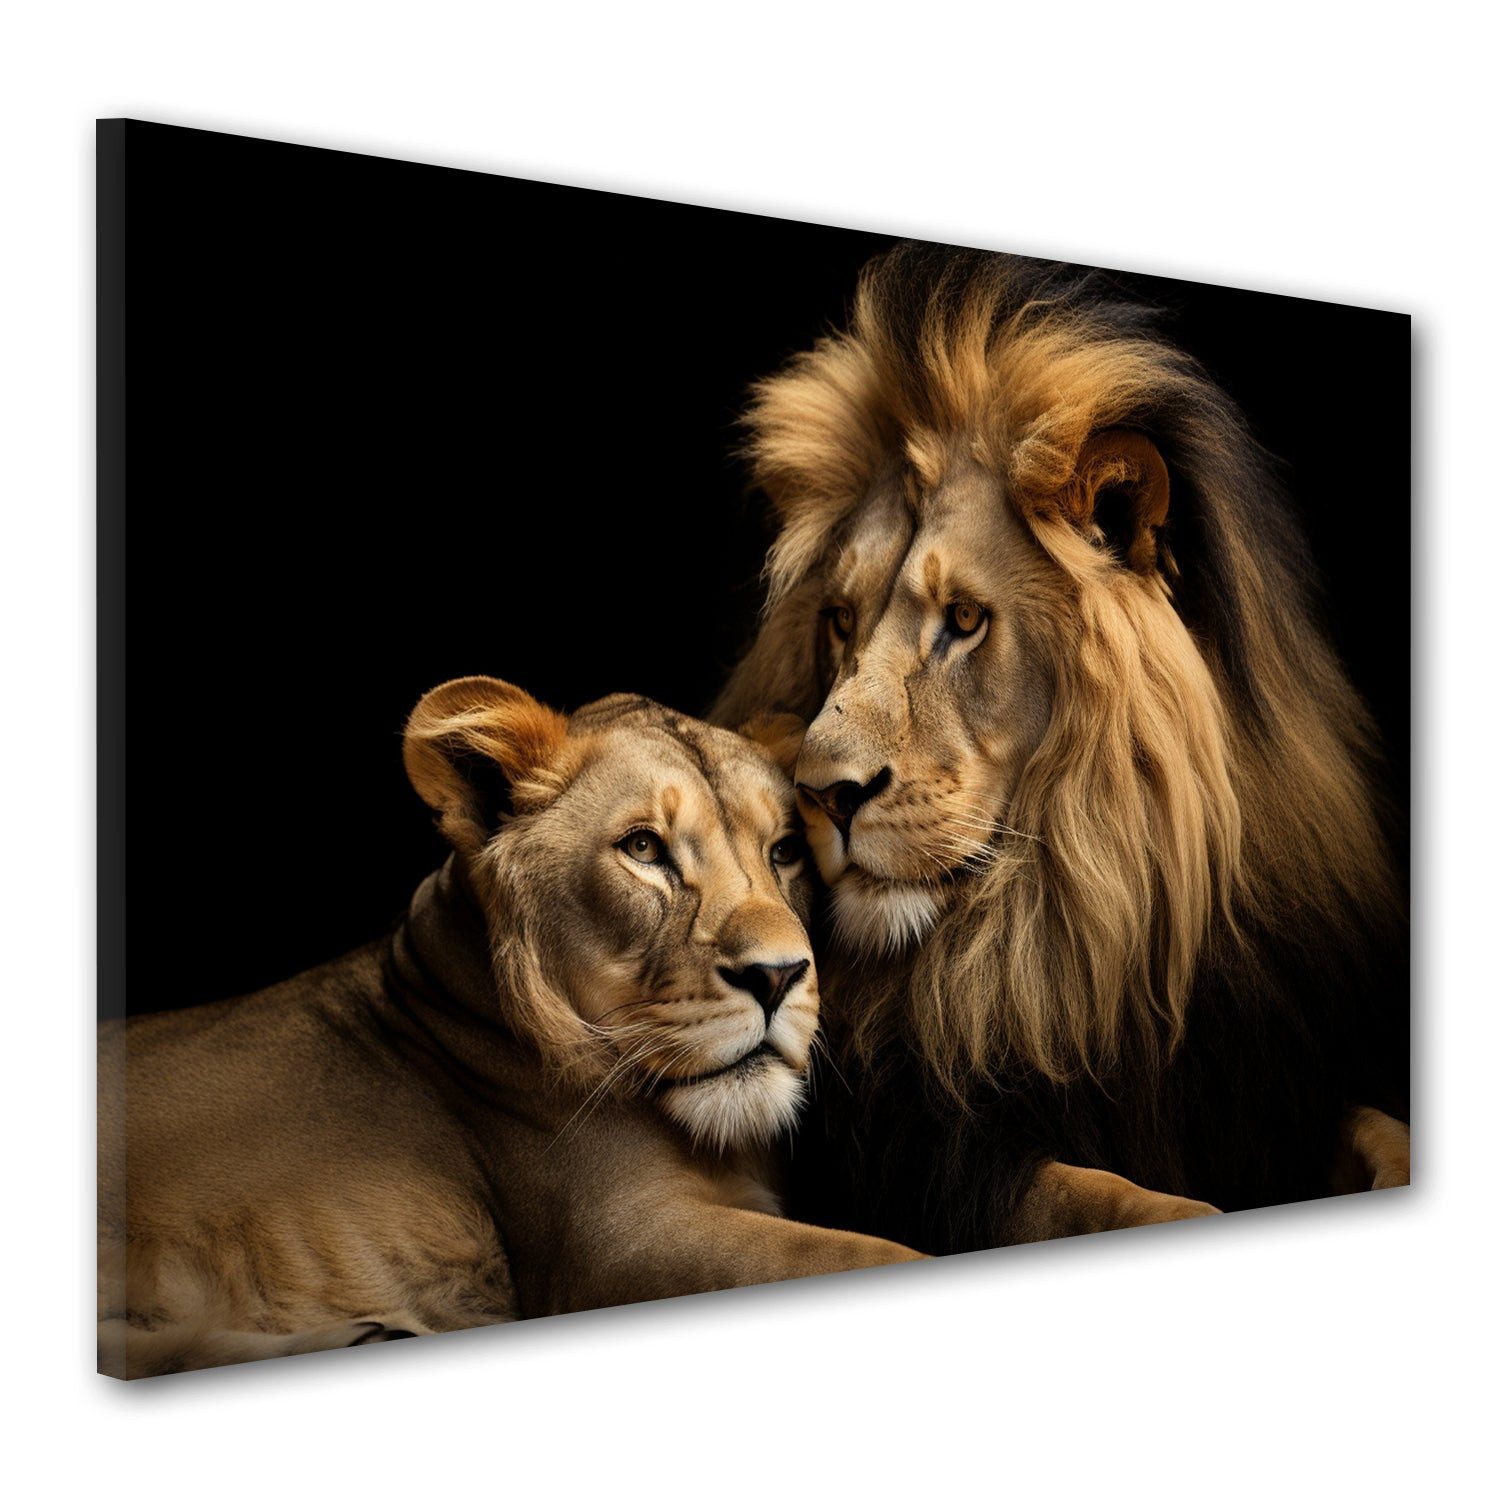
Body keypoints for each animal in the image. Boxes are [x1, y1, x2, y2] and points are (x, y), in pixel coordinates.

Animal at [713, 245, 1410, 1250]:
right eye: (840, 620)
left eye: (964, 620)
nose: (822, 793)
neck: (1074, 935)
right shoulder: (932, 1158)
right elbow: (1110, 1197)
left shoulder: (1274, 1082)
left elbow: (1385, 1131)